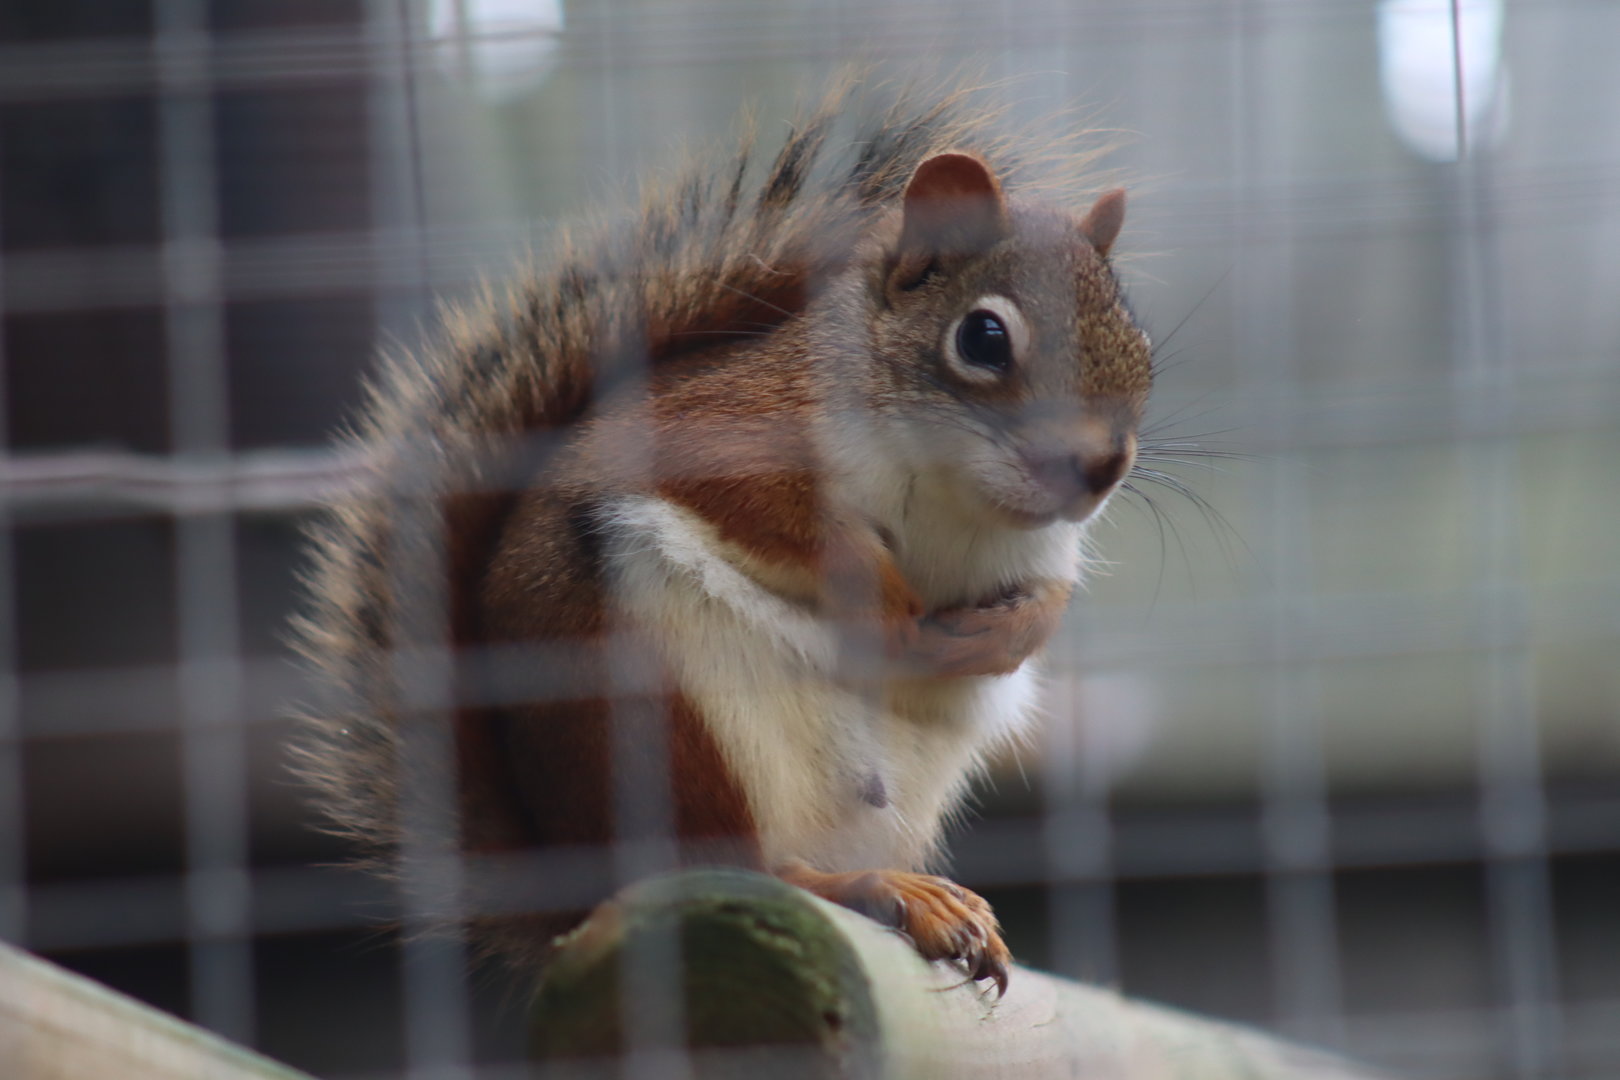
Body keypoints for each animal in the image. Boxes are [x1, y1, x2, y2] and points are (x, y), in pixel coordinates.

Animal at [293, 83, 1152, 996]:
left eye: (1139, 344)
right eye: (983, 337)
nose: (1103, 468)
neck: (957, 493)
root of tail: (580, 889)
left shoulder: (1043, 547)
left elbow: (1049, 599)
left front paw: (1008, 632)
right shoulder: (727, 429)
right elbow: (778, 516)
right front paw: (886, 605)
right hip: (656, 705)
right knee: (738, 865)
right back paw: (864, 886)